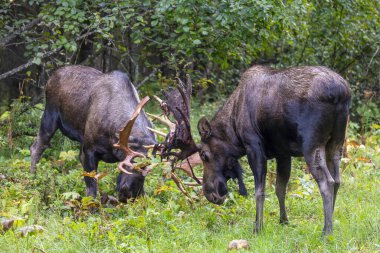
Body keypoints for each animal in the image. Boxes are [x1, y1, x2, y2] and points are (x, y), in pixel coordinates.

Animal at [194, 65, 352, 235]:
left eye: (203, 154)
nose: (210, 194)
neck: (233, 131)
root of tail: (341, 93)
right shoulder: (283, 153)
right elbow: (280, 188)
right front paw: (284, 220)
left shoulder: (253, 146)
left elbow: (260, 191)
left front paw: (258, 227)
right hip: (336, 143)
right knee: (337, 180)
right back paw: (331, 222)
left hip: (312, 144)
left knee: (327, 182)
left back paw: (326, 231)